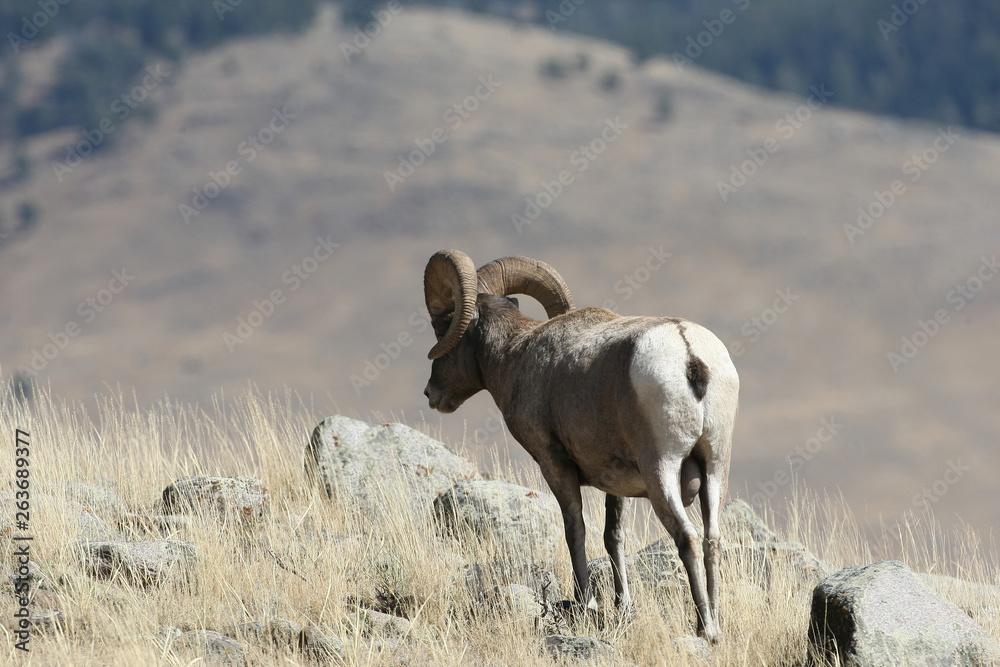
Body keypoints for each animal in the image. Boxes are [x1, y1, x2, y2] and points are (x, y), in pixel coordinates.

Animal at [422, 250, 739, 641]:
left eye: (442, 327)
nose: (431, 394)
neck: (518, 356)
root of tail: (688, 353)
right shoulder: (616, 482)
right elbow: (612, 537)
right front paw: (621, 606)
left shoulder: (555, 465)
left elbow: (576, 530)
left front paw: (585, 603)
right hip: (715, 466)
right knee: (712, 540)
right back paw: (713, 622)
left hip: (661, 468)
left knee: (688, 538)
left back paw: (706, 630)